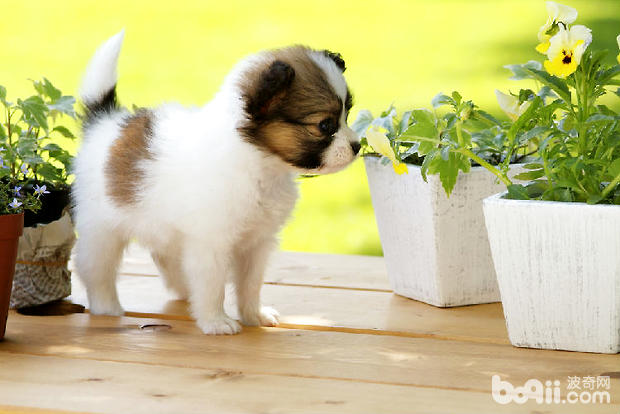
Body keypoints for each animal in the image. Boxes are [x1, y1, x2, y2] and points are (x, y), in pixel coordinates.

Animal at [72, 30, 358, 334]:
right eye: (325, 125)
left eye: (347, 114)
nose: (357, 146)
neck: (257, 162)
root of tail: (106, 122)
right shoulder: (211, 243)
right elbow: (213, 286)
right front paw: (215, 321)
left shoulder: (257, 242)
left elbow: (250, 284)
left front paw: (253, 315)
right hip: (102, 230)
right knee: (96, 269)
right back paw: (107, 306)